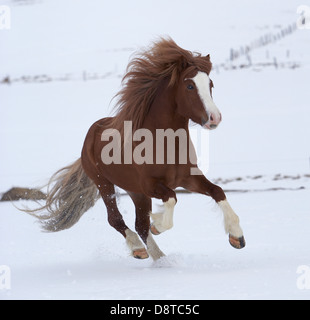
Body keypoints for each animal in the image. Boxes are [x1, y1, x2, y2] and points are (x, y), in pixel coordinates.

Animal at [29, 38, 247, 262]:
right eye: (190, 85)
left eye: (210, 84)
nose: (215, 118)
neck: (164, 142)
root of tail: (91, 133)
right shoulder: (151, 185)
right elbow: (171, 199)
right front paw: (158, 225)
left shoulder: (187, 178)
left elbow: (217, 191)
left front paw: (236, 236)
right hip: (104, 183)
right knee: (116, 219)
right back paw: (139, 249)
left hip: (135, 192)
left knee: (140, 224)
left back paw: (160, 259)